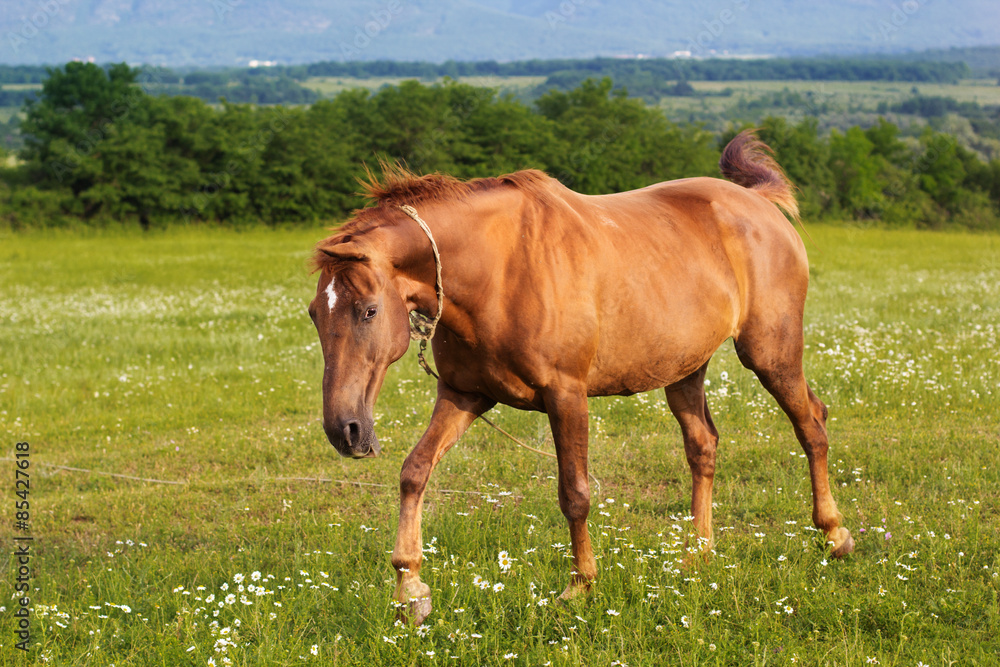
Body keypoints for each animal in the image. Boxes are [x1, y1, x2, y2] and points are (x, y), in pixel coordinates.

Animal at [308, 130, 854, 625]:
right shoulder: (464, 395)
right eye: (315, 313)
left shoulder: (566, 395)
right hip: (685, 368)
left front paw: (580, 586)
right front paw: (410, 588)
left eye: (369, 310)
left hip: (770, 353)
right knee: (703, 445)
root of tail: (759, 203)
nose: (345, 430)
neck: (499, 270)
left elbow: (574, 494)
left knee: (812, 425)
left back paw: (834, 534)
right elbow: (414, 472)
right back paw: (698, 553)